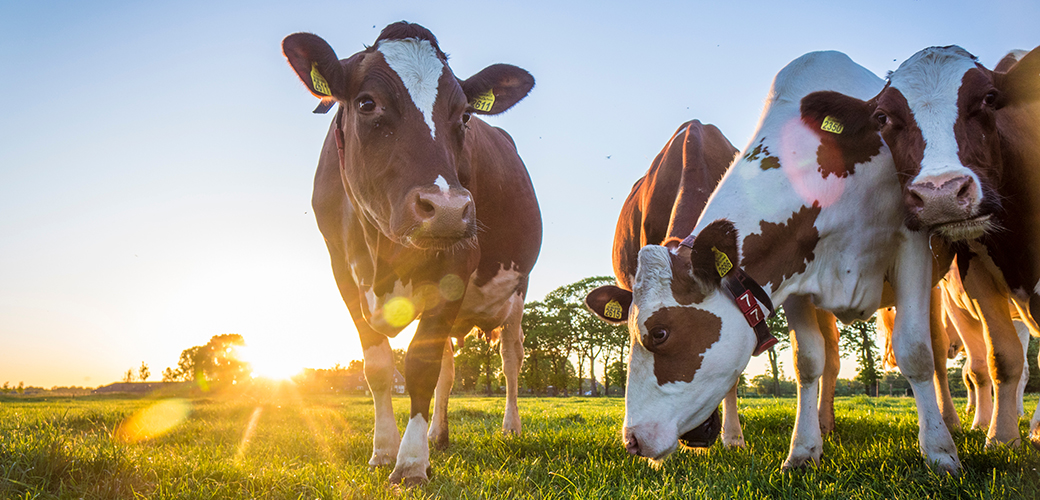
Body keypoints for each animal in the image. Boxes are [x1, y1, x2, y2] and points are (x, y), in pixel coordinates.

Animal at [284, 22, 544, 482]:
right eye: (367, 102)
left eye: (465, 115)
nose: (447, 209)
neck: (382, 251)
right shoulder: (342, 272)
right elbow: (379, 367)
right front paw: (384, 450)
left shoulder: (458, 264)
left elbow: (421, 368)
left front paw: (409, 463)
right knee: (449, 368)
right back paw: (438, 435)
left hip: (517, 289)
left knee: (510, 357)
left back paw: (509, 428)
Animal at [586, 50, 956, 471]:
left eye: (660, 332)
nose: (632, 440)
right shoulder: (795, 273)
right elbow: (807, 360)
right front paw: (803, 450)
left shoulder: (912, 242)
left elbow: (916, 351)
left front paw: (940, 453)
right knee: (831, 356)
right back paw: (825, 424)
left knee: (938, 348)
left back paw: (956, 423)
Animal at [807, 44, 1040, 446]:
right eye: (882, 117)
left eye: (989, 98)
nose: (940, 194)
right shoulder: (977, 273)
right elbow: (1001, 359)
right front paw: (1001, 437)